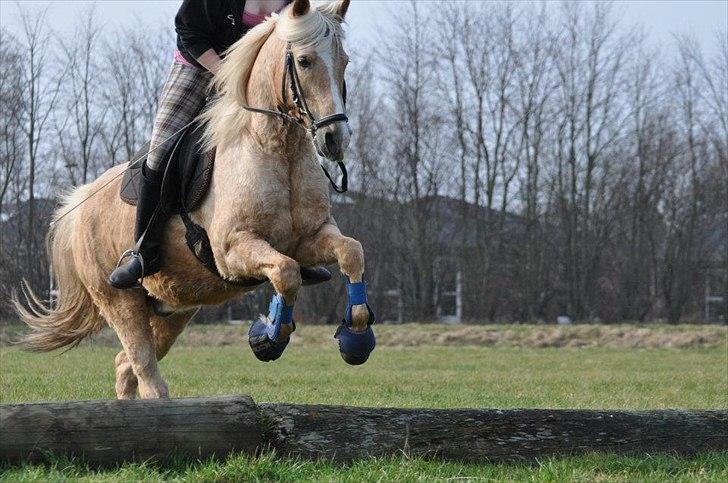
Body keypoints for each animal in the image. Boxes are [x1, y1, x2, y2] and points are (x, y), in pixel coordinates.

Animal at [15, 0, 376, 400]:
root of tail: (76, 208)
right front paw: (267, 338)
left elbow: (350, 252)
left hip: (174, 306)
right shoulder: (233, 249)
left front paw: (356, 339)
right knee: (144, 369)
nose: (334, 139)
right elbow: (285, 272)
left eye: (344, 61)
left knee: (126, 366)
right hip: (120, 298)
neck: (277, 148)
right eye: (305, 61)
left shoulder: (310, 238)